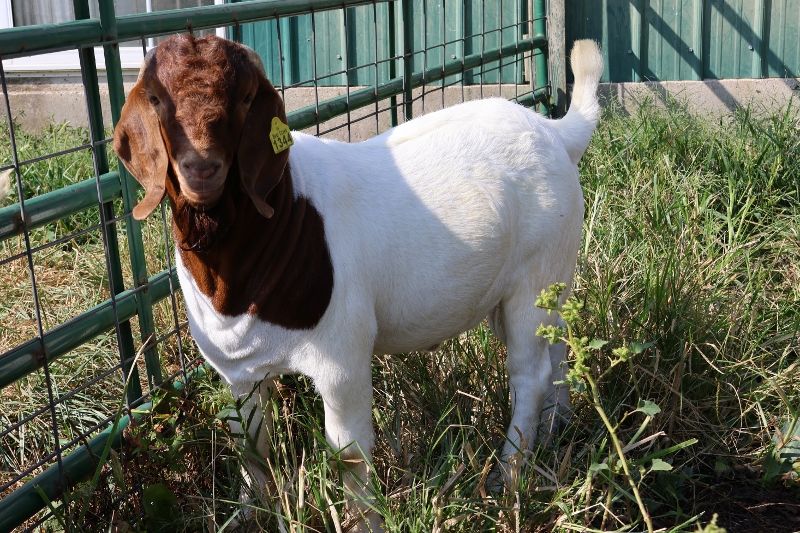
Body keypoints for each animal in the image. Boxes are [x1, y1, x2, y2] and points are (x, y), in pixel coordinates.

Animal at [113, 34, 603, 529]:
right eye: (156, 99)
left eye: (247, 97)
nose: (201, 168)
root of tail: (557, 132)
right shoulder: (236, 371)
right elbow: (251, 443)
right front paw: (252, 512)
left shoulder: (341, 356)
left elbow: (348, 454)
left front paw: (362, 521)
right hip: (544, 280)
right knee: (557, 345)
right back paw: (557, 428)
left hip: (534, 274)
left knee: (529, 372)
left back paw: (508, 476)